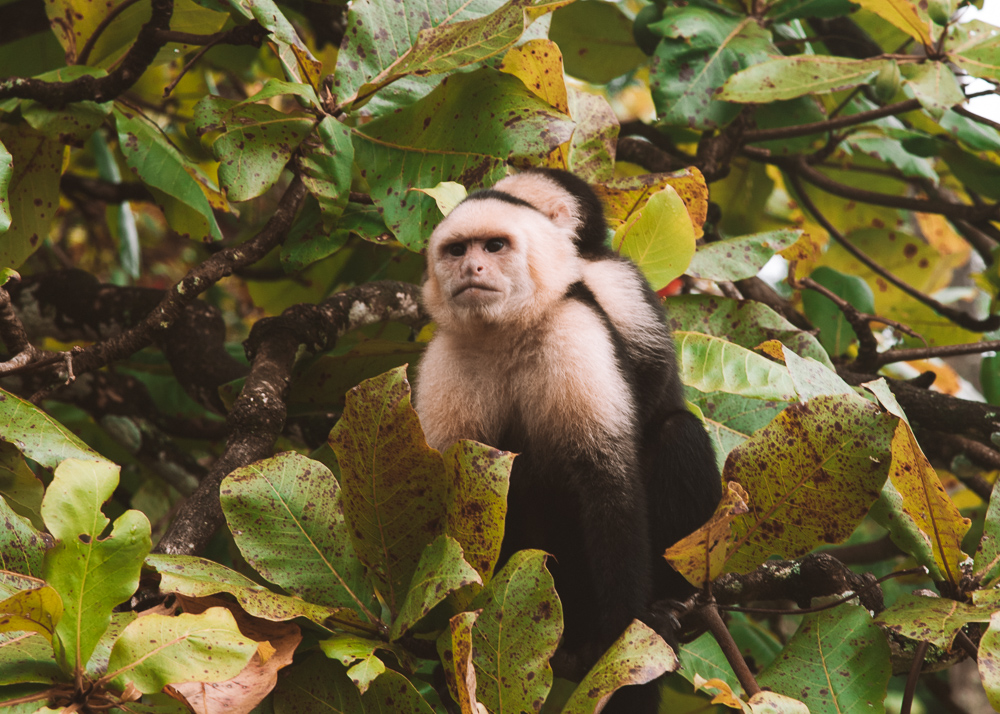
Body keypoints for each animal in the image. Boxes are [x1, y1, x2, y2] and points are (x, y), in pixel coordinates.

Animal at [412, 168, 720, 712]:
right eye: (456, 250)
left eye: (494, 246)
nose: (470, 266)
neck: (508, 333)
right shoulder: (447, 358)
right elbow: (443, 494)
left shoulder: (584, 318)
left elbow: (608, 480)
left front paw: (625, 635)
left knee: (676, 431)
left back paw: (665, 607)